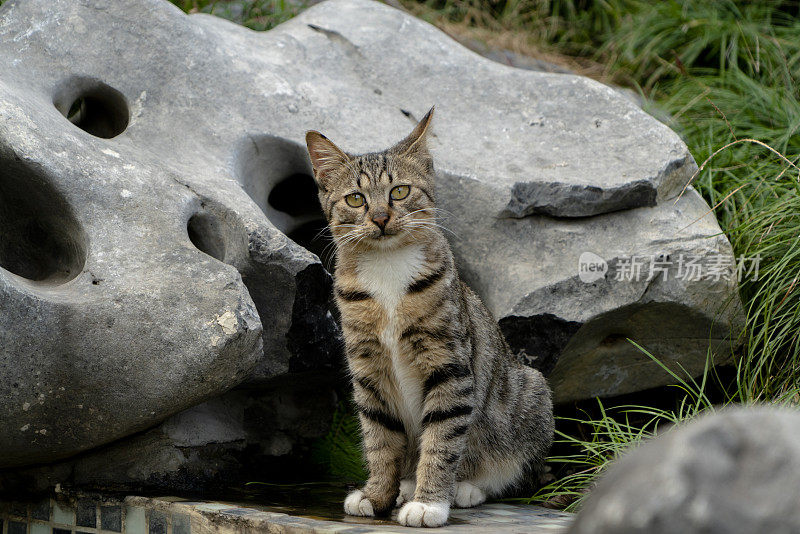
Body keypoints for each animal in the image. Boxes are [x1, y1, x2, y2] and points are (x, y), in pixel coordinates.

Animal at [304, 108, 552, 528]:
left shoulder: (448, 364)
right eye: (355, 199)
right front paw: (377, 494)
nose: (380, 218)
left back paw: (466, 487)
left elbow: (442, 437)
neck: (388, 268)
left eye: (399, 192)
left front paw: (429, 502)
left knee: (517, 471)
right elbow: (380, 437)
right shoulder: (368, 369)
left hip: (530, 392)